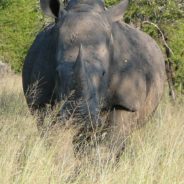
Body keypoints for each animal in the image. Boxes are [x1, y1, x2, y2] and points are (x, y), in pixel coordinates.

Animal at [22, 0, 165, 157]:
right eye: (57, 73)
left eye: (103, 73)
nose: (78, 118)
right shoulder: (40, 99)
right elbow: (54, 139)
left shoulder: (127, 101)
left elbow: (111, 143)